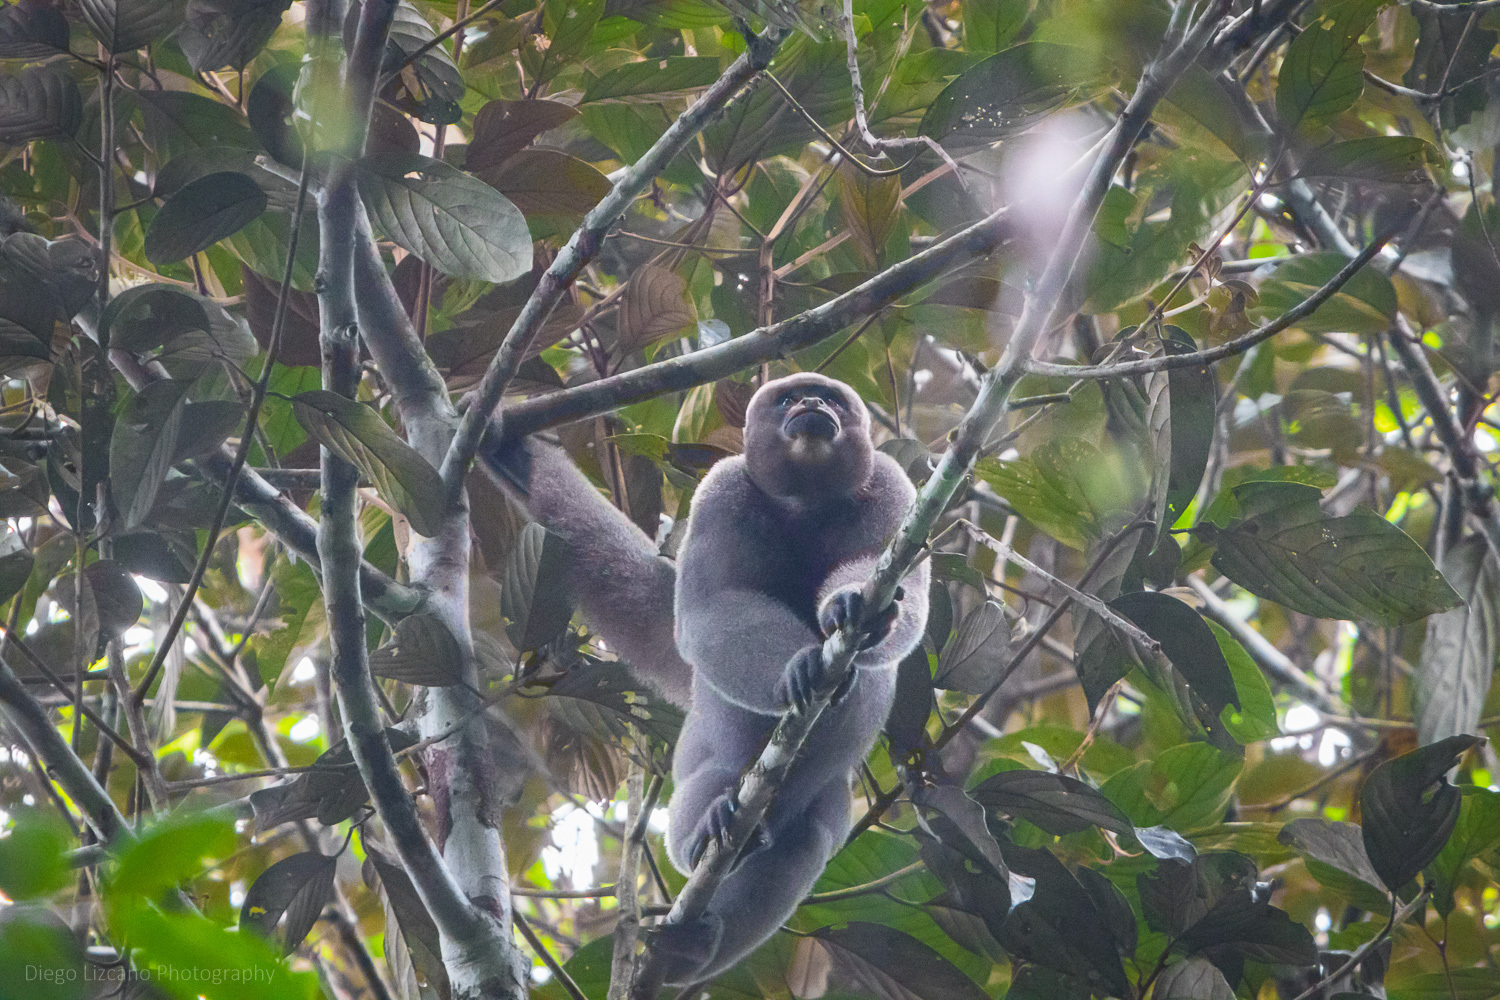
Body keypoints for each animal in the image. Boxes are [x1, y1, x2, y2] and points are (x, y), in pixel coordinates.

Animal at [481, 372, 929, 984]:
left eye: (831, 398)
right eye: (789, 398)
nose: (814, 404)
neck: (808, 501)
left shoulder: (891, 485)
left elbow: (907, 600)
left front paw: (851, 606)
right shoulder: (721, 490)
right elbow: (708, 609)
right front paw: (798, 666)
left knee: (809, 834)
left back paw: (698, 947)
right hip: (697, 743)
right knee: (717, 776)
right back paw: (711, 827)